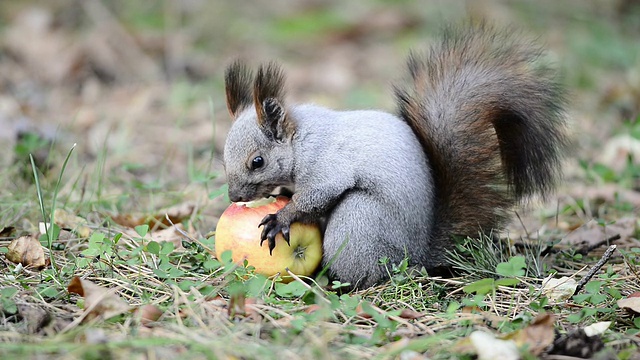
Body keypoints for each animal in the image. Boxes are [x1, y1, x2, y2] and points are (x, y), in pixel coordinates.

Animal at [222, 22, 568, 288]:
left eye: (257, 162)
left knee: (367, 273)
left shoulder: (326, 164)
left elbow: (317, 194)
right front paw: (279, 196)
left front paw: (281, 216)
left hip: (359, 221)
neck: (300, 139)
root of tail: (419, 253)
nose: (234, 197)